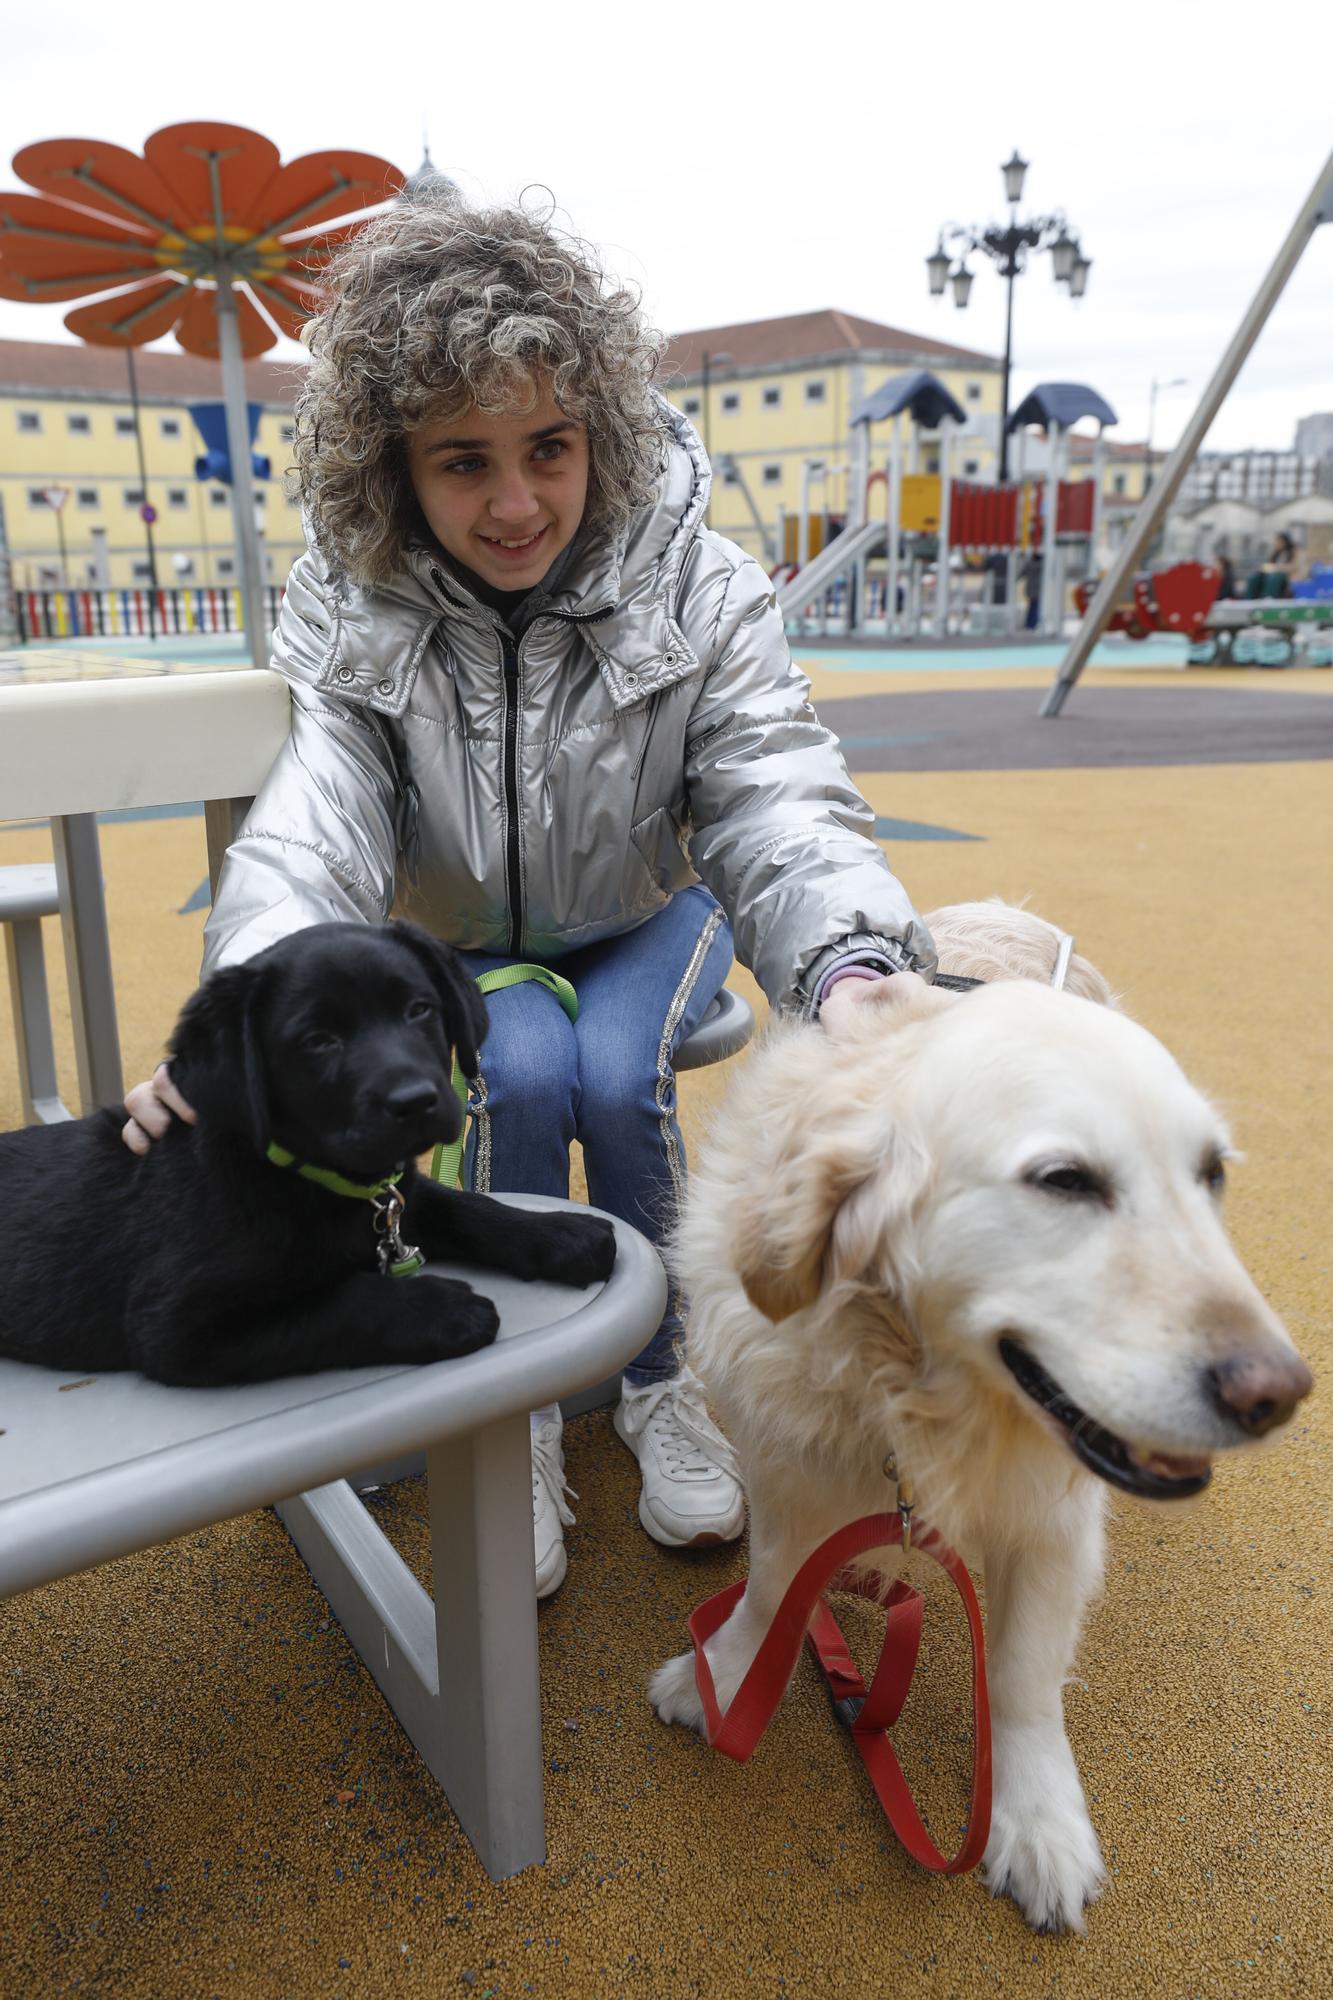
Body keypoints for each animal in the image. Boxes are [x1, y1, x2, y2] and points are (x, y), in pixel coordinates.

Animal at [0, 924, 612, 1384]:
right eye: (318, 1041)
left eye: (419, 1010)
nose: (416, 1101)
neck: (304, 1178)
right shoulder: (175, 1326)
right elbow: (339, 1303)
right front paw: (443, 1309)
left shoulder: (401, 1197)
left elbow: (468, 1208)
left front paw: (562, 1233)